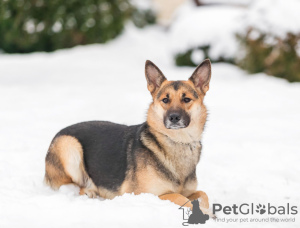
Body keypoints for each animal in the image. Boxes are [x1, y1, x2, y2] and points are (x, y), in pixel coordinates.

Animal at [45, 59, 213, 216]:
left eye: (186, 99)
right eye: (165, 100)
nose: (174, 118)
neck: (178, 141)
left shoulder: (190, 191)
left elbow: (203, 194)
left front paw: (208, 210)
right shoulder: (146, 194)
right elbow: (180, 197)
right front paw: (207, 214)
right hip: (69, 144)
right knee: (72, 186)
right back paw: (89, 191)